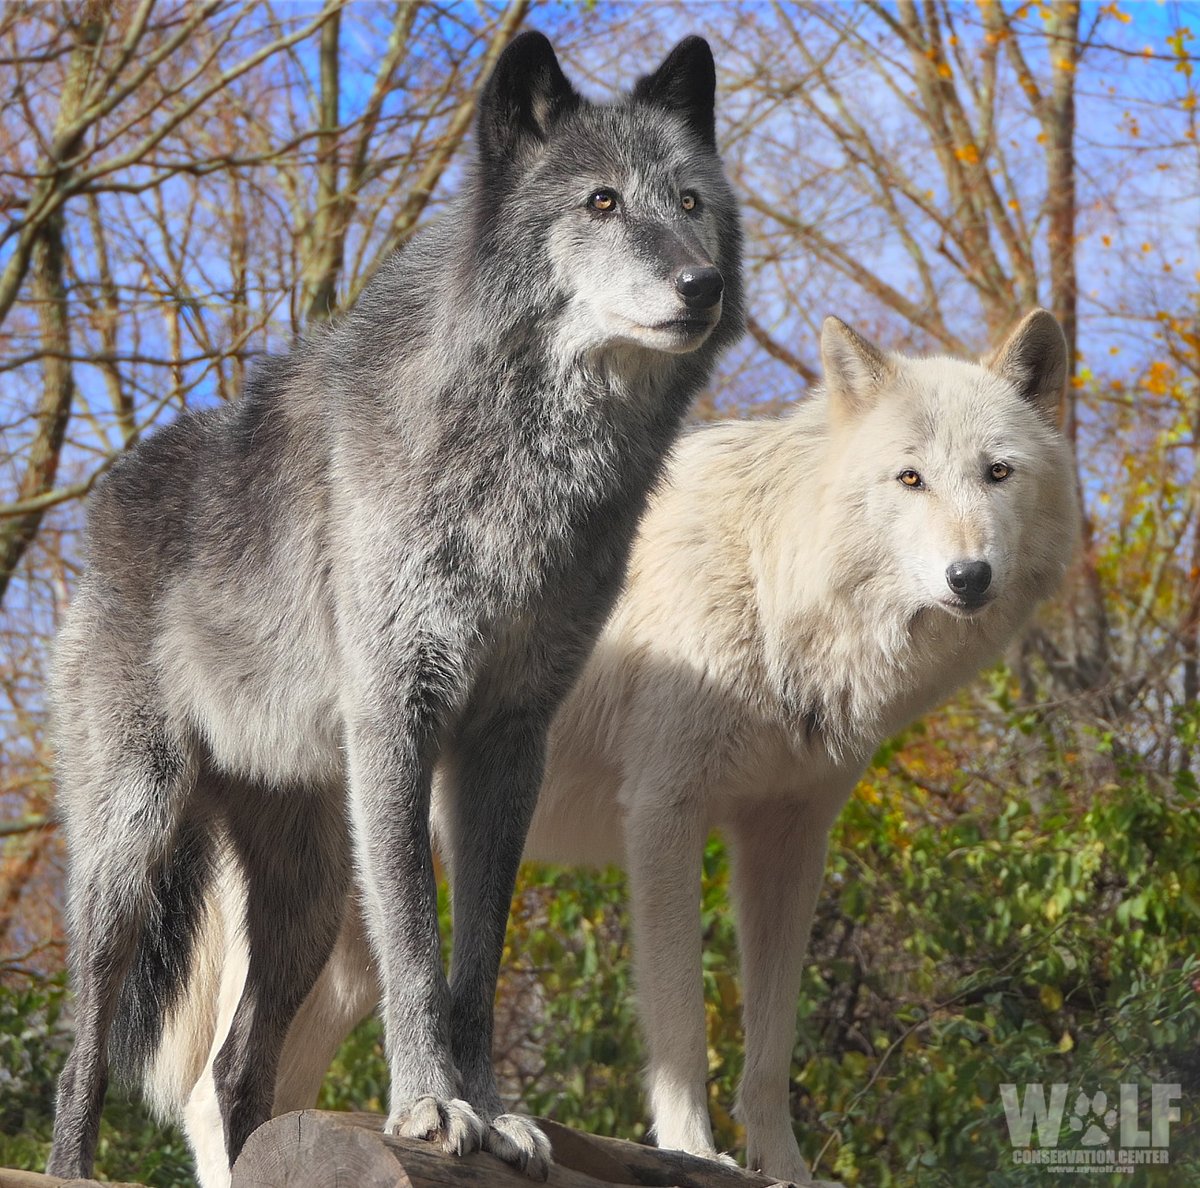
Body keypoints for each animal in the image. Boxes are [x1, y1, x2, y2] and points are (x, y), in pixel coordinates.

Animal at [45, 30, 743, 1183]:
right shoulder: (398, 719)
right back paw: (68, 1162)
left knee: (233, 1070)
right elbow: (418, 943)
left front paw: (494, 1110)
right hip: (133, 844)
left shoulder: (509, 739)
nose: (705, 283)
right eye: (600, 201)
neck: (527, 467)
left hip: (309, 893)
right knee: (87, 1043)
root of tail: (104, 499)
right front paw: (430, 1108)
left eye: (689, 201)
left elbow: (477, 960)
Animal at [139, 309, 1079, 1187]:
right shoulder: (664, 813)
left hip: (353, 947)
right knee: (207, 1089)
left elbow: (771, 1046)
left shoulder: (790, 837)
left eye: (998, 473)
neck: (772, 581)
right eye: (910, 478)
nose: (969, 577)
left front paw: (785, 1170)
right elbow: (683, 1025)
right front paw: (696, 1153)